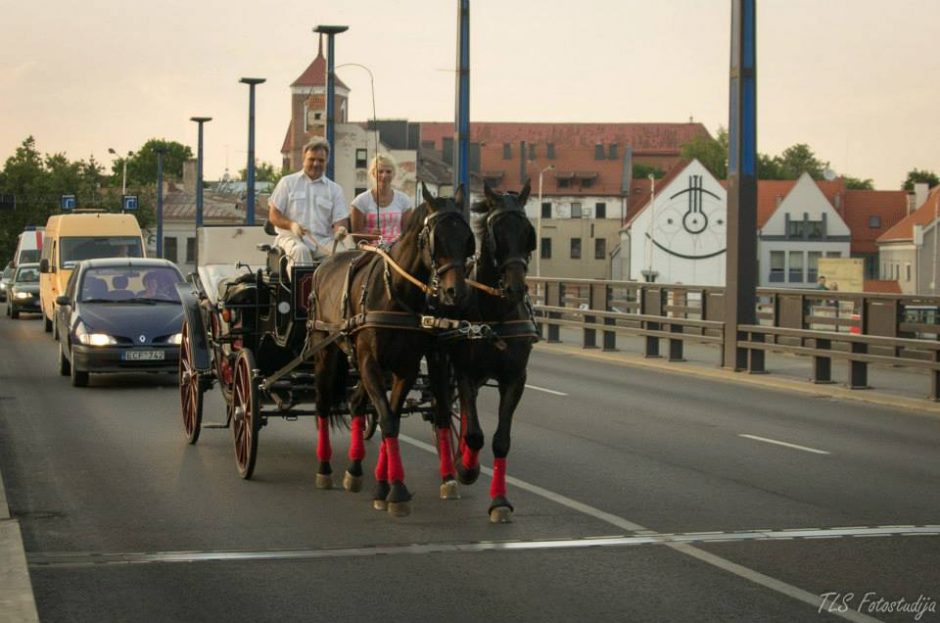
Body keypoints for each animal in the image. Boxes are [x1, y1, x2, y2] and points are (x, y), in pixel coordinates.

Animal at [306, 185, 474, 516]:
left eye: (467, 238)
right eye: (436, 239)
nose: (456, 292)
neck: (395, 292)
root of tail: (325, 265)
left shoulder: (404, 368)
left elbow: (391, 417)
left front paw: (386, 487)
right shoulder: (370, 362)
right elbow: (387, 418)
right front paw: (396, 490)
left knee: (357, 403)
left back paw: (355, 470)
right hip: (326, 352)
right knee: (322, 405)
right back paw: (324, 469)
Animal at [438, 183, 536, 524]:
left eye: (527, 232)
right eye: (496, 233)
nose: (516, 288)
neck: (495, 313)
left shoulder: (515, 379)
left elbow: (500, 440)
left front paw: (500, 501)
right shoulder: (465, 372)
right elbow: (475, 435)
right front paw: (467, 468)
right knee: (444, 416)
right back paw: (451, 474)